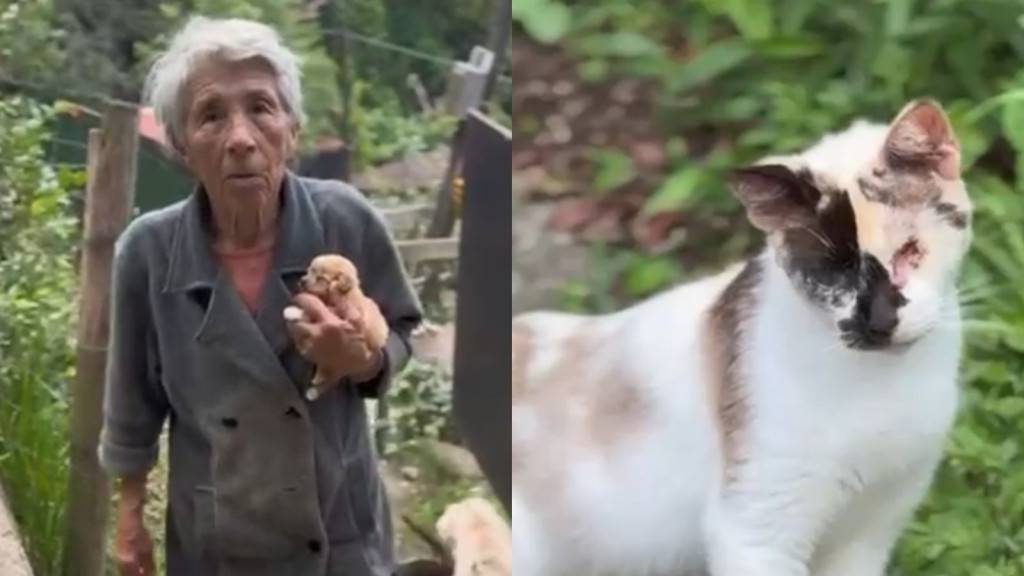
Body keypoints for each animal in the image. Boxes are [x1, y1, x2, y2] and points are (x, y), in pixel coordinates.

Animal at [284, 253, 387, 397]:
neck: (346, 292)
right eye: (309, 271)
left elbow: (311, 314)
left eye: (321, 278)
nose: (302, 280)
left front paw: (293, 312)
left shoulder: (336, 311)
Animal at [512, 99, 974, 573]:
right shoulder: (755, 532)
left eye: (910, 252)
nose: (880, 322)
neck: (885, 387)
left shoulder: (873, 528)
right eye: (831, 272)